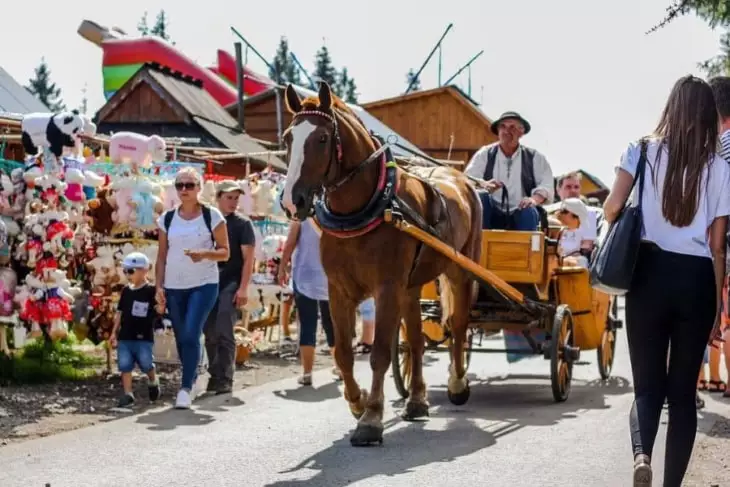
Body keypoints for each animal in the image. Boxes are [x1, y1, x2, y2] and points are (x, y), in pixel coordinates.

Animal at [282, 82, 480, 448]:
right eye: (288, 137)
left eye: (322, 139)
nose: (292, 201)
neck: (368, 207)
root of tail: (459, 178)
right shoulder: (339, 290)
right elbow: (343, 353)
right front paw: (357, 403)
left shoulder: (387, 288)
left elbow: (378, 355)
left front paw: (371, 418)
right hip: (412, 285)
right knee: (416, 340)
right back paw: (416, 400)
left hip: (460, 270)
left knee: (459, 325)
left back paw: (458, 383)